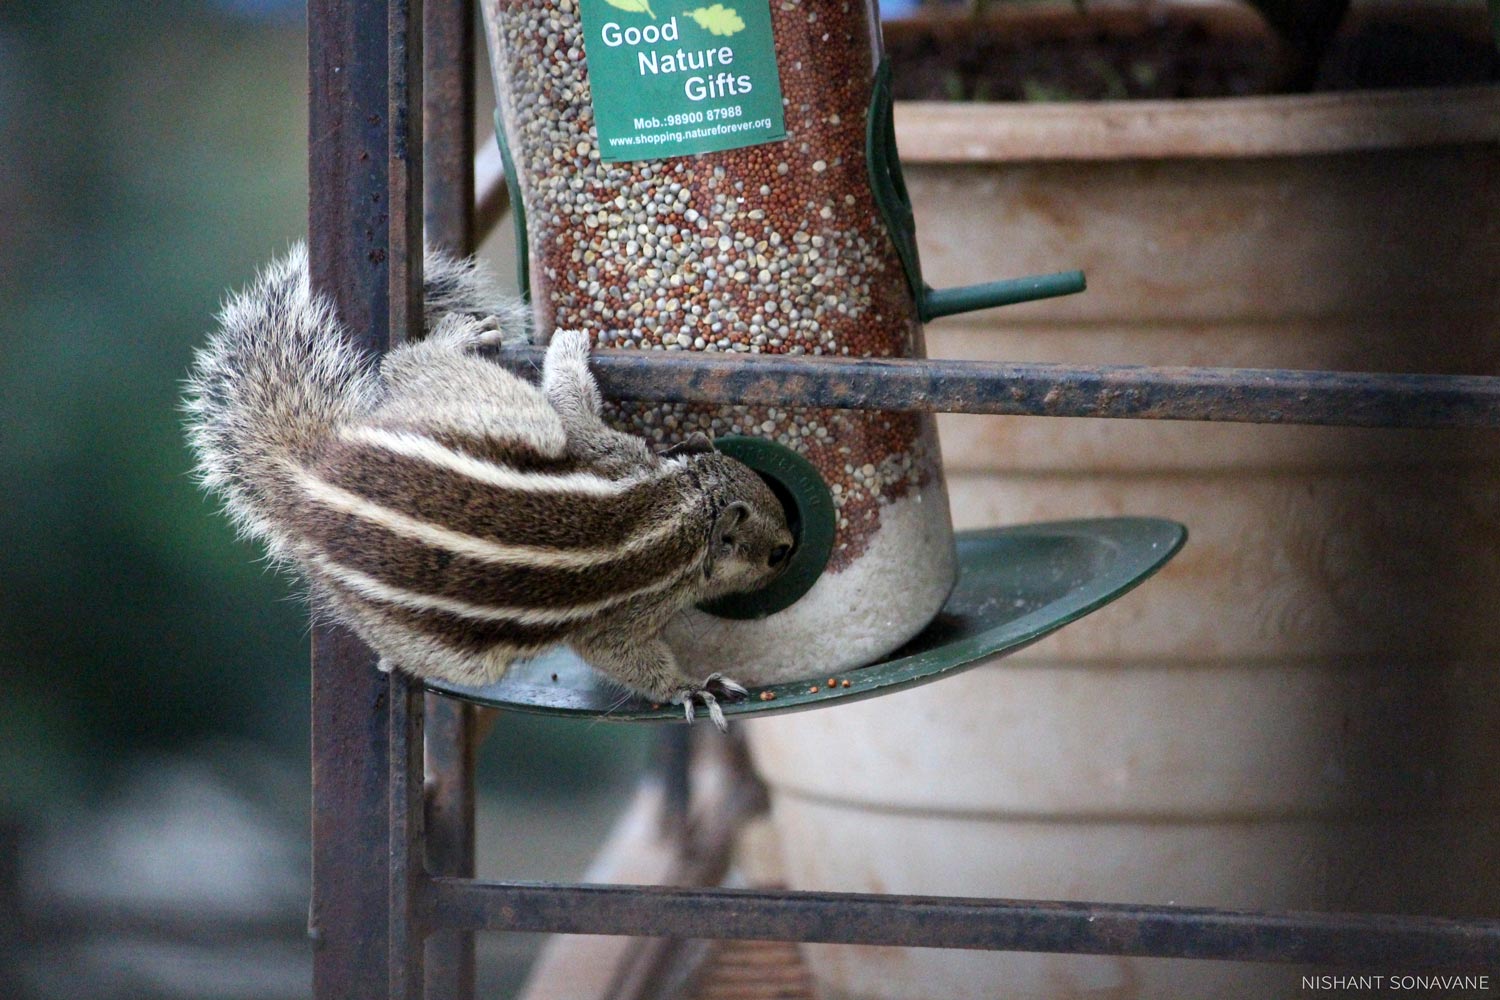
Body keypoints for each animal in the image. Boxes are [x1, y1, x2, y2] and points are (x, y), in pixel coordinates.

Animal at [183, 243, 794, 729]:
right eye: (777, 552)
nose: (791, 546)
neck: (682, 509)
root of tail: (315, 480)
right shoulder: (626, 561)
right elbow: (576, 416)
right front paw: (691, 688)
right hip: (513, 418)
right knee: (412, 363)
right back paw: (458, 335)